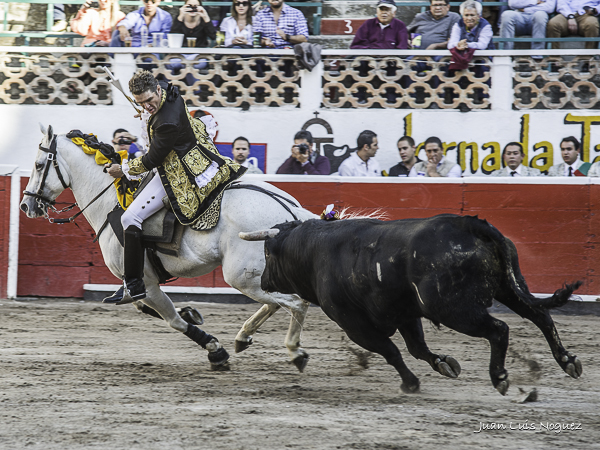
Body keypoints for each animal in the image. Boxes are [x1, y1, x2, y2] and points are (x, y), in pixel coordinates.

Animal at [19, 125, 314, 370]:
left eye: (38, 165)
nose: (25, 205)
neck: (111, 200)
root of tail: (291, 211)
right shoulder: (139, 284)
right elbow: (148, 309)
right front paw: (193, 314)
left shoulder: (145, 282)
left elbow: (171, 318)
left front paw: (215, 351)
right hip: (255, 277)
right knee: (279, 303)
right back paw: (244, 337)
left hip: (240, 276)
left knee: (296, 302)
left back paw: (294, 351)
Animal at [241, 214, 584, 394]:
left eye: (268, 252)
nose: (264, 281)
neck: (315, 252)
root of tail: (468, 224)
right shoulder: (406, 314)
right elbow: (417, 348)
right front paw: (444, 364)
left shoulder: (353, 323)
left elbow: (391, 351)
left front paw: (410, 383)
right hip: (509, 288)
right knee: (540, 315)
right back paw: (568, 361)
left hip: (452, 308)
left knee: (499, 329)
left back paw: (499, 377)